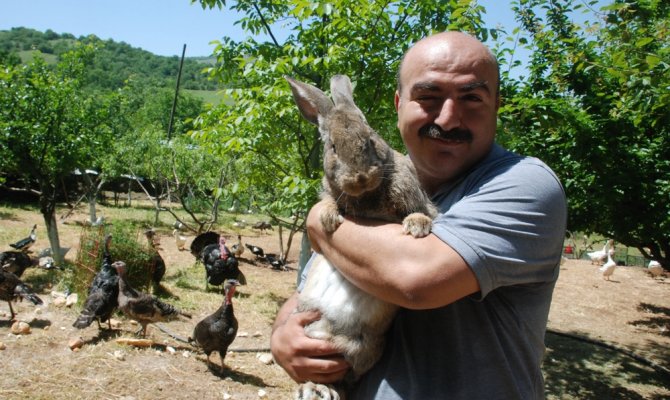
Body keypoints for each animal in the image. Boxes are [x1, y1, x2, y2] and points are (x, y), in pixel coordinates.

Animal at [286, 73, 438, 398]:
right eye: (332, 146)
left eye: (369, 139)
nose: (360, 177)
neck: (368, 196)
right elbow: (329, 201)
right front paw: (328, 218)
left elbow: (422, 211)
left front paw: (416, 226)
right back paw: (314, 389)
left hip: (360, 348)